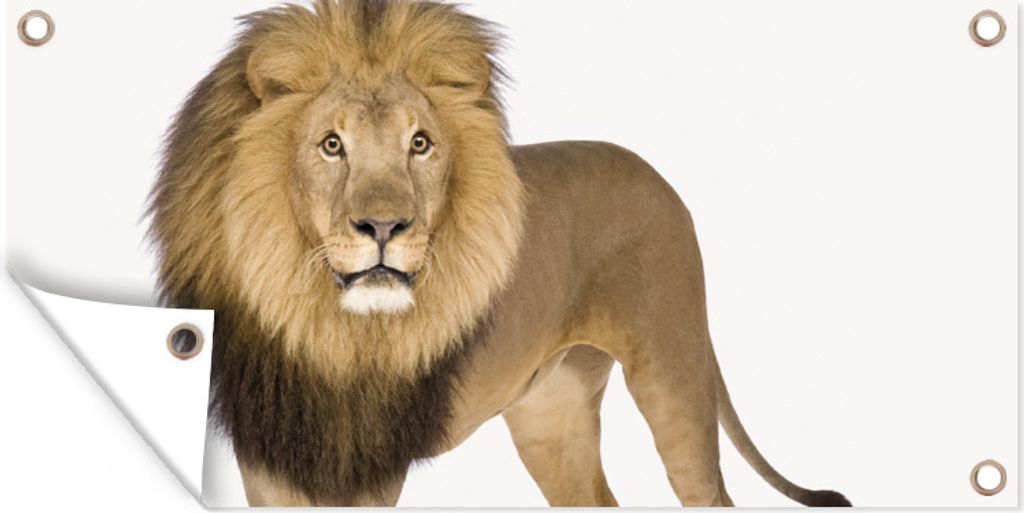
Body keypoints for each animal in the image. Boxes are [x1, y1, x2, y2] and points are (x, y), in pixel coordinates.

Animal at [147, 0, 850, 507]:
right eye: (331, 145)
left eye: (420, 143)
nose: (385, 225)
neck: (317, 326)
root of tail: (656, 175)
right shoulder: (271, 463)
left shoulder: (370, 474)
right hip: (552, 413)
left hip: (671, 371)